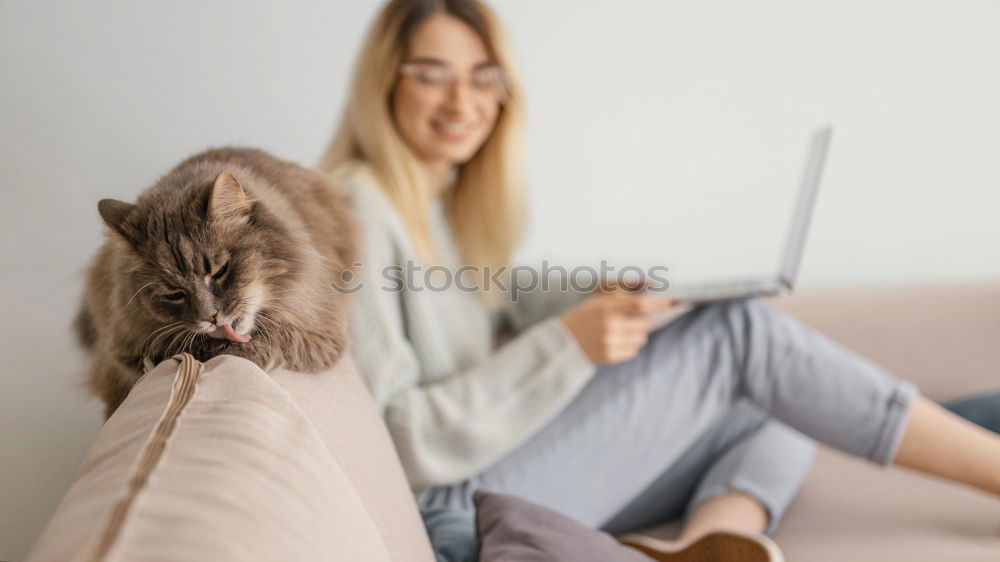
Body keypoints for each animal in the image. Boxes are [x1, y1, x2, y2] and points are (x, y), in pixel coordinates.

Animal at [77, 147, 360, 418]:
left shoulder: (323, 331)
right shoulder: (127, 347)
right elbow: (180, 346)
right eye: (174, 294)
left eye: (220, 271)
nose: (211, 316)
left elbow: (276, 336)